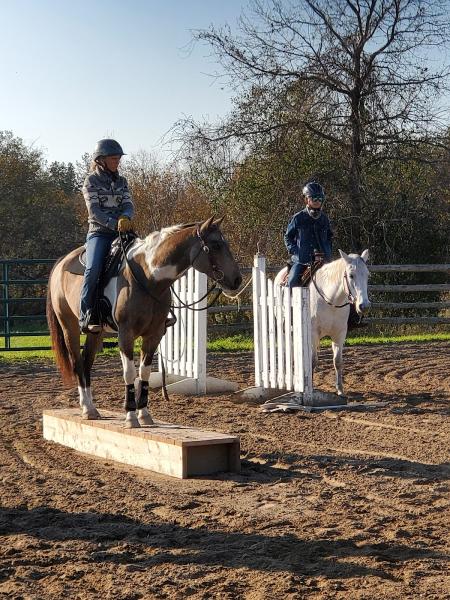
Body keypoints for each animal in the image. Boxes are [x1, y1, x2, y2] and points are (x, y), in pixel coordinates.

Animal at [46, 218, 243, 428]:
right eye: (215, 245)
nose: (237, 279)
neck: (149, 277)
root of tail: (62, 262)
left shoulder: (154, 334)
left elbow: (144, 373)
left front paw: (144, 414)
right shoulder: (126, 334)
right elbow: (130, 373)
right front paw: (131, 417)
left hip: (96, 332)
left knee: (86, 363)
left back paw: (92, 408)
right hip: (69, 326)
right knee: (77, 363)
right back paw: (86, 408)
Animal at [276, 251, 370, 396]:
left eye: (367, 275)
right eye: (351, 275)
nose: (364, 306)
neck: (330, 299)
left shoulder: (340, 334)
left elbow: (338, 362)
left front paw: (340, 390)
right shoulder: (313, 333)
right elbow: (313, 361)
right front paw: (311, 389)